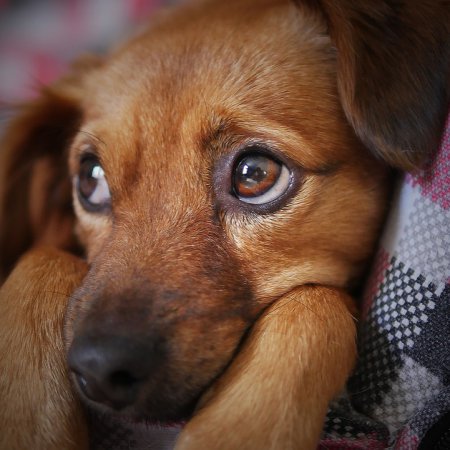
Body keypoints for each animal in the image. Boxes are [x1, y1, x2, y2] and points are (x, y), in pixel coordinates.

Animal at [0, 0, 450, 450]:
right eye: (90, 179)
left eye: (254, 174)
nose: (98, 370)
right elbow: (42, 256)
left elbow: (314, 301)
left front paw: (235, 427)